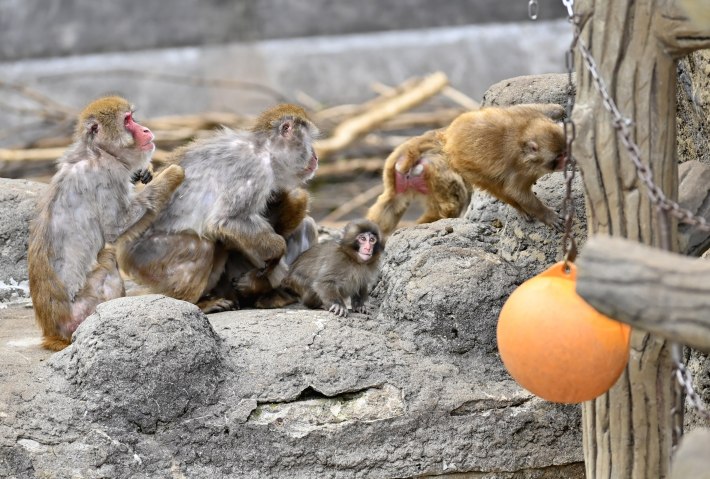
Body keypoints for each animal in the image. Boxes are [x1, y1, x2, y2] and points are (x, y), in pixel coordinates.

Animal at [28, 96, 185, 351]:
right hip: (82, 310)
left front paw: (144, 172)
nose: (145, 129)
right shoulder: (107, 176)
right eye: (128, 120)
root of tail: (53, 331)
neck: (98, 152)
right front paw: (174, 173)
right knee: (108, 257)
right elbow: (114, 229)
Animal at [116, 104, 319, 312]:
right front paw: (277, 252)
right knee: (203, 246)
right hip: (145, 257)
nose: (315, 157)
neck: (265, 149)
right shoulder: (254, 170)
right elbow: (226, 221)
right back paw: (195, 302)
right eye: (308, 142)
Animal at [366, 103, 567, 235]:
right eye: (558, 158)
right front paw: (546, 215)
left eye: (565, 152)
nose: (566, 161)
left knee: (390, 204)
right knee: (479, 189)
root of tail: (447, 136)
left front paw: (559, 110)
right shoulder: (519, 169)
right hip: (455, 168)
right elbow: (515, 190)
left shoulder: (529, 115)